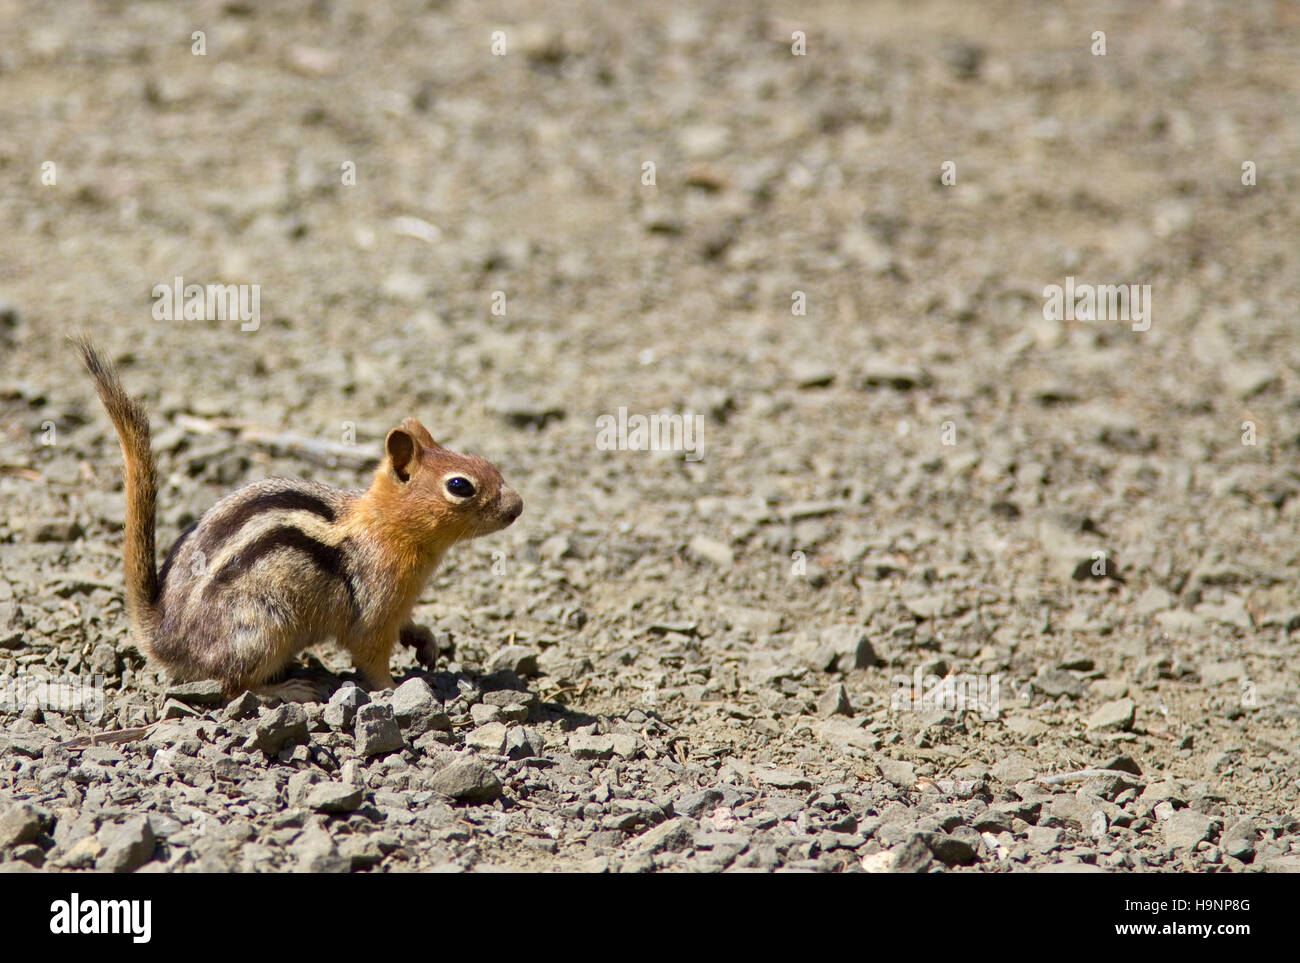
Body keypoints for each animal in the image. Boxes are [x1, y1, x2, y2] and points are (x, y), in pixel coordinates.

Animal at [74, 337, 522, 696]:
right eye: (460, 486)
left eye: (486, 463)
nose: (517, 506)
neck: (384, 525)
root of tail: (164, 636)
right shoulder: (374, 613)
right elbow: (371, 656)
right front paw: (395, 689)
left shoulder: (399, 607)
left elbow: (408, 624)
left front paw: (426, 642)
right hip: (262, 628)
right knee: (233, 686)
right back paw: (288, 689)